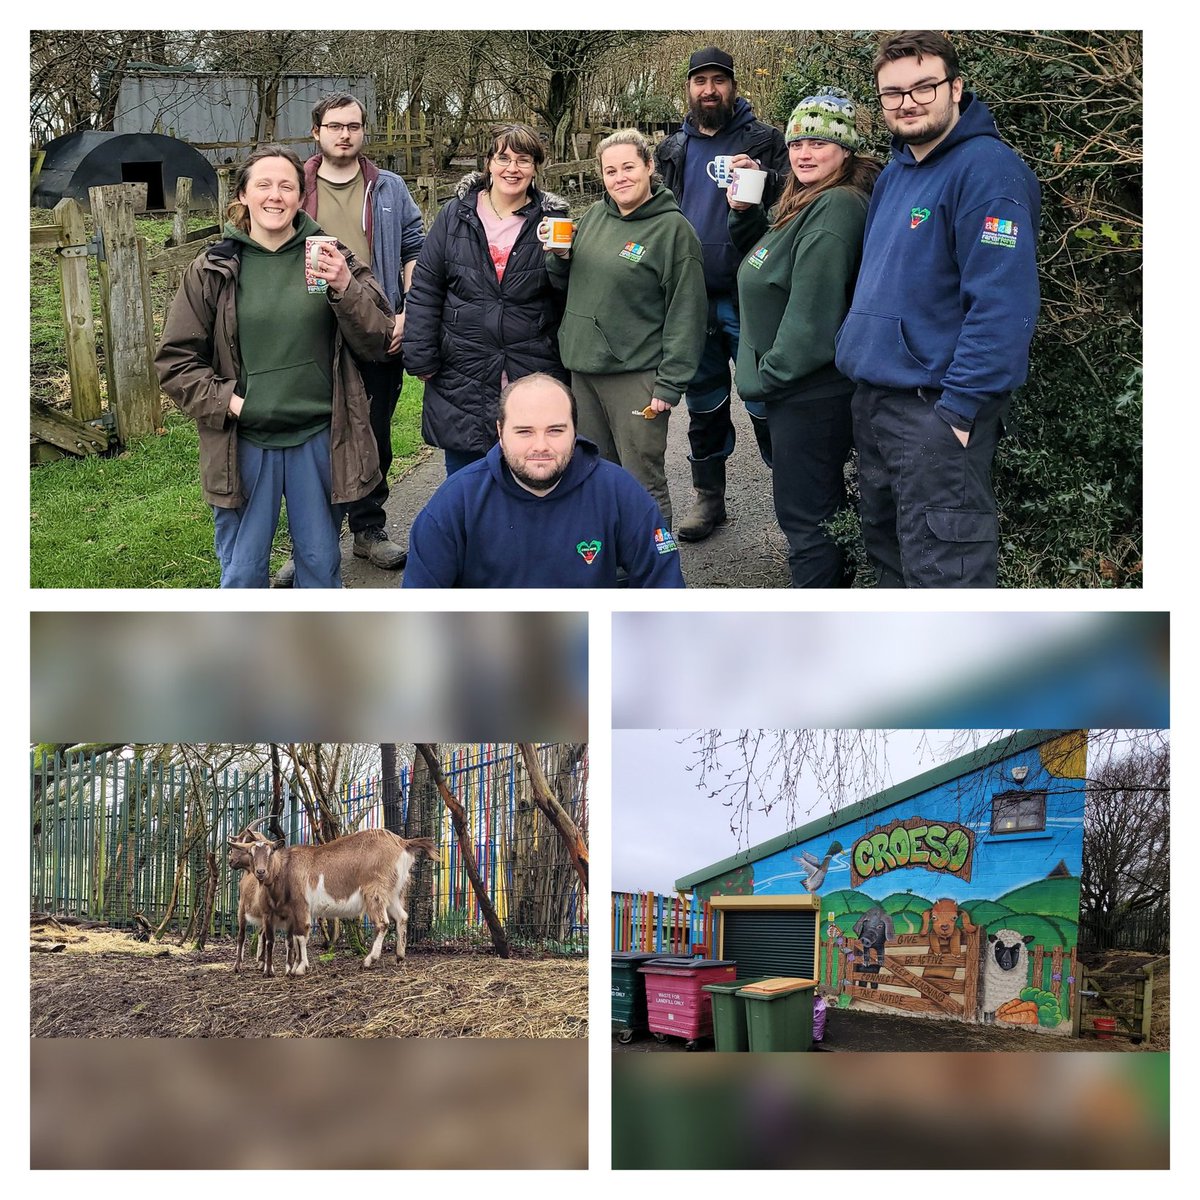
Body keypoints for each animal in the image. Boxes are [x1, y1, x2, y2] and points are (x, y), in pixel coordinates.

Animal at [229, 830, 441, 979]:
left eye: (270, 851)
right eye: (251, 852)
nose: (260, 872)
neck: (286, 868)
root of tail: (403, 843)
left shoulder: (301, 905)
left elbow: (302, 934)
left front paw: (299, 968)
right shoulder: (292, 913)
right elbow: (296, 938)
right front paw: (295, 966)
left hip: (375, 891)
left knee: (383, 922)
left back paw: (368, 960)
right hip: (394, 892)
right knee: (402, 917)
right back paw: (399, 955)